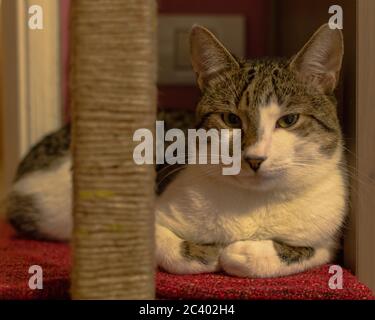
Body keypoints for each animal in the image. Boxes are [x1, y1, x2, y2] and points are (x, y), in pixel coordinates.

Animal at [5, 23, 348, 278]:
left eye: (288, 120)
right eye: (231, 119)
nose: (254, 159)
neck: (252, 203)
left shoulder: (329, 235)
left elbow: (308, 251)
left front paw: (245, 252)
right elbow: (160, 241)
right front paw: (204, 253)